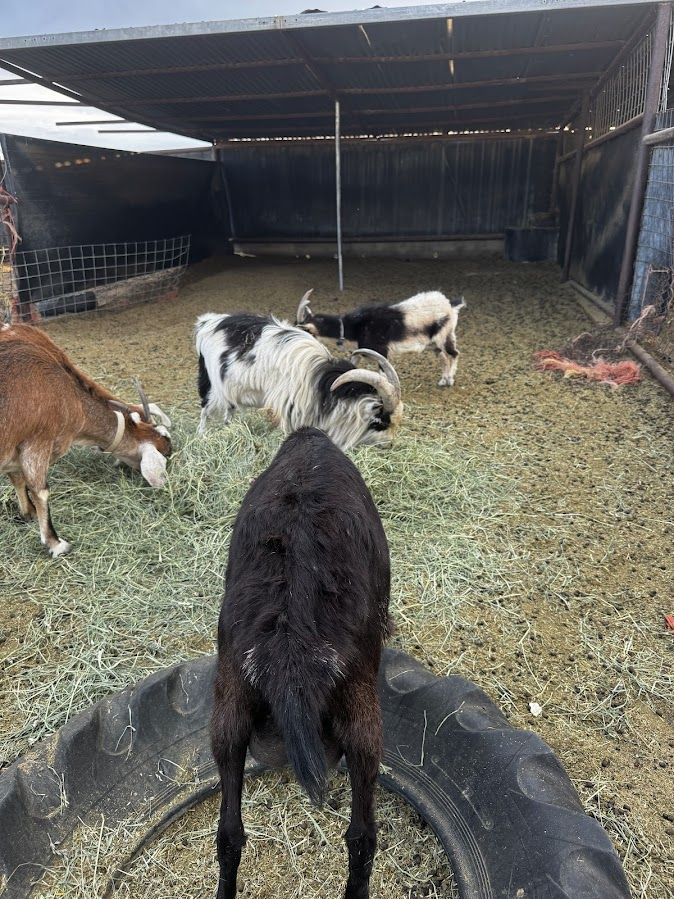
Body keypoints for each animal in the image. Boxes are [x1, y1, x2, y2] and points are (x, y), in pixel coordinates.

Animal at [0, 323, 172, 557]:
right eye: (165, 449)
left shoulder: (15, 448)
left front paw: (28, 513)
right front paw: (56, 543)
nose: (171, 447)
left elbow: (17, 478)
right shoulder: (38, 441)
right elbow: (40, 491)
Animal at [195, 312, 402, 451]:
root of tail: (206, 322)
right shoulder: (288, 407)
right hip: (210, 383)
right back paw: (201, 436)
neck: (320, 381)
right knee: (205, 410)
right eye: (380, 421)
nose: (390, 444)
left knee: (229, 409)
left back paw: (227, 428)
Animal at [296, 288, 466, 387]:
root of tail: (450, 305)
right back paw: (443, 380)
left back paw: (450, 380)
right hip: (433, 343)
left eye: (305, 331)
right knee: (444, 357)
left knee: (454, 354)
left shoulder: (381, 351)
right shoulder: (361, 351)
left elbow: (383, 373)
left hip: (444, 335)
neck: (355, 327)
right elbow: (352, 365)